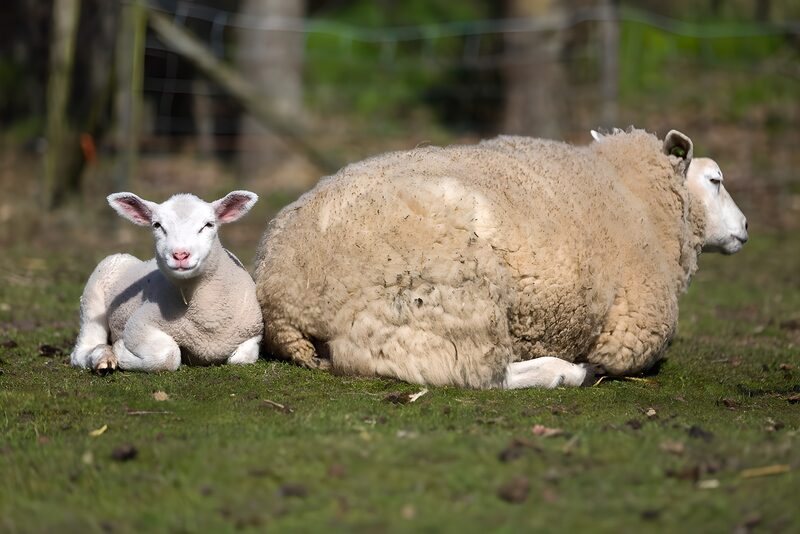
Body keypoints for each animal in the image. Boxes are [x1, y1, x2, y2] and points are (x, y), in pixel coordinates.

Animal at [71, 191, 264, 373]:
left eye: (208, 224)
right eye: (157, 225)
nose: (180, 254)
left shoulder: (253, 332)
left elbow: (241, 358)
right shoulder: (138, 326)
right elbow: (168, 354)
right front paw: (120, 350)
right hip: (91, 301)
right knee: (82, 349)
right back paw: (104, 357)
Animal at [253, 128, 748, 389]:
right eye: (716, 180)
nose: (745, 228)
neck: (638, 200)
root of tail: (281, 295)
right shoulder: (631, 328)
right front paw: (586, 367)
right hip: (441, 310)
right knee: (477, 373)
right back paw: (564, 370)